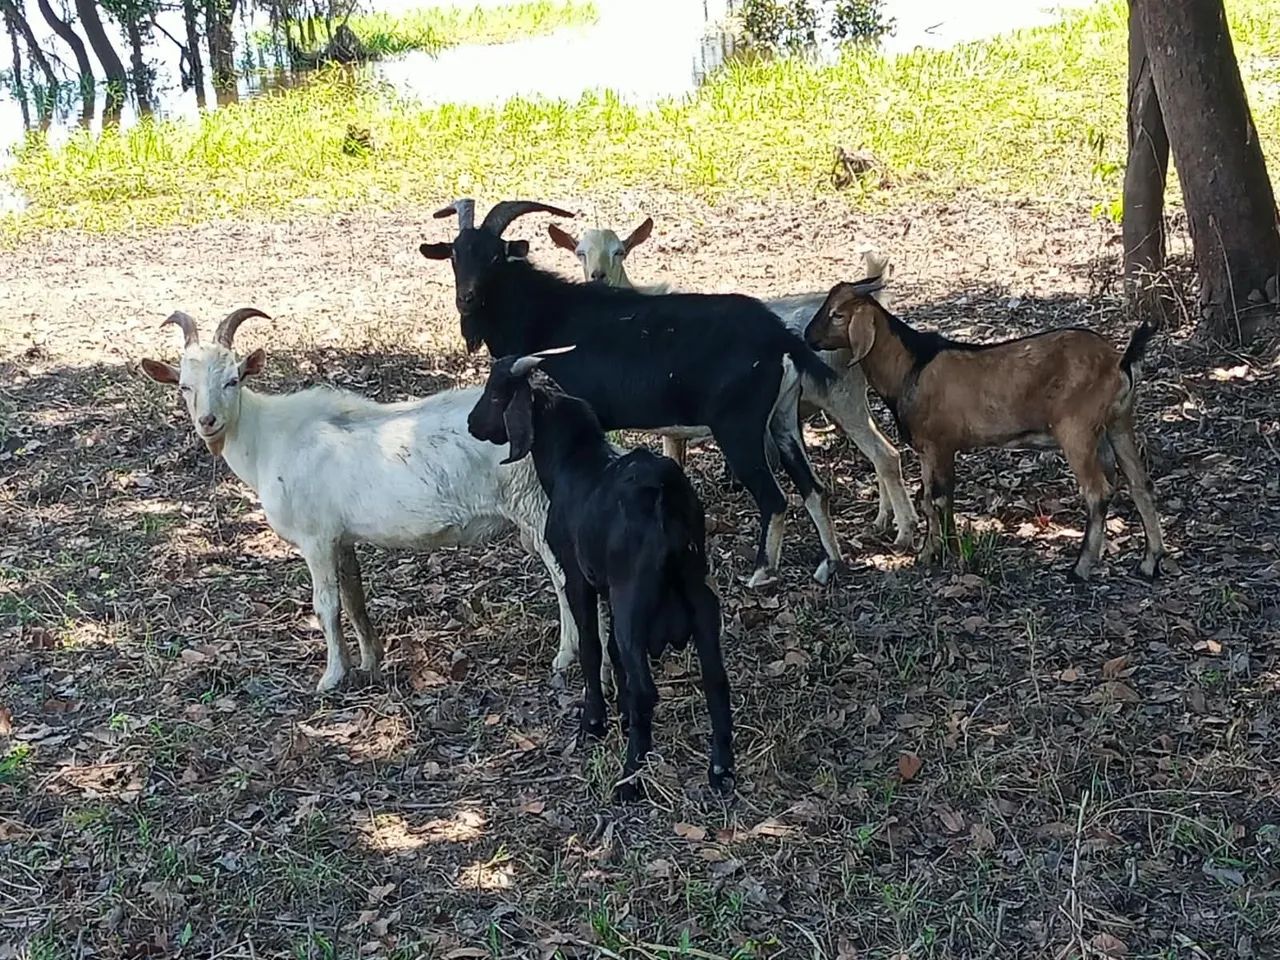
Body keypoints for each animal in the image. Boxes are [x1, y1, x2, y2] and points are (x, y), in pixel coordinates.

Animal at [140, 308, 583, 692]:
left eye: (233, 380)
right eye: (184, 386)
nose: (208, 421)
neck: (268, 438)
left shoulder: (315, 537)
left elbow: (326, 605)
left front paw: (332, 677)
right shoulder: (341, 537)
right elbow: (353, 598)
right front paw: (371, 662)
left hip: (535, 505)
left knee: (565, 578)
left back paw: (566, 657)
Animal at [421, 197, 845, 588]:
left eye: (495, 256)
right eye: (455, 255)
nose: (466, 298)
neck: (543, 313)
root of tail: (779, 337)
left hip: (738, 426)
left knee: (774, 499)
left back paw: (760, 573)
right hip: (783, 419)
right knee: (814, 489)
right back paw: (829, 565)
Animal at [467, 347, 733, 801]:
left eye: (496, 393)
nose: (471, 423)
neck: (575, 462)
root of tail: (665, 496)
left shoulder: (578, 576)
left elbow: (592, 646)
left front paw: (594, 723)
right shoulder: (606, 583)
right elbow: (612, 652)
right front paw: (622, 719)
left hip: (633, 603)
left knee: (647, 688)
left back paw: (629, 777)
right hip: (699, 595)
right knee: (715, 677)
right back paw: (720, 770)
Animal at [549, 218, 918, 548]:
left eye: (620, 251)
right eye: (579, 252)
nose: (597, 276)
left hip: (841, 394)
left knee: (885, 455)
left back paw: (903, 533)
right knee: (880, 451)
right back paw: (882, 521)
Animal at [804, 279, 1173, 580]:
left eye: (837, 314)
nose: (808, 337)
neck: (913, 365)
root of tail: (1119, 362)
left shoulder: (938, 444)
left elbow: (936, 498)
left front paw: (940, 554)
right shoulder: (928, 450)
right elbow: (932, 498)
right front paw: (937, 552)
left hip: (1077, 430)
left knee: (1098, 491)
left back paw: (1081, 567)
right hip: (1118, 423)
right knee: (1141, 483)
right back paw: (1150, 562)